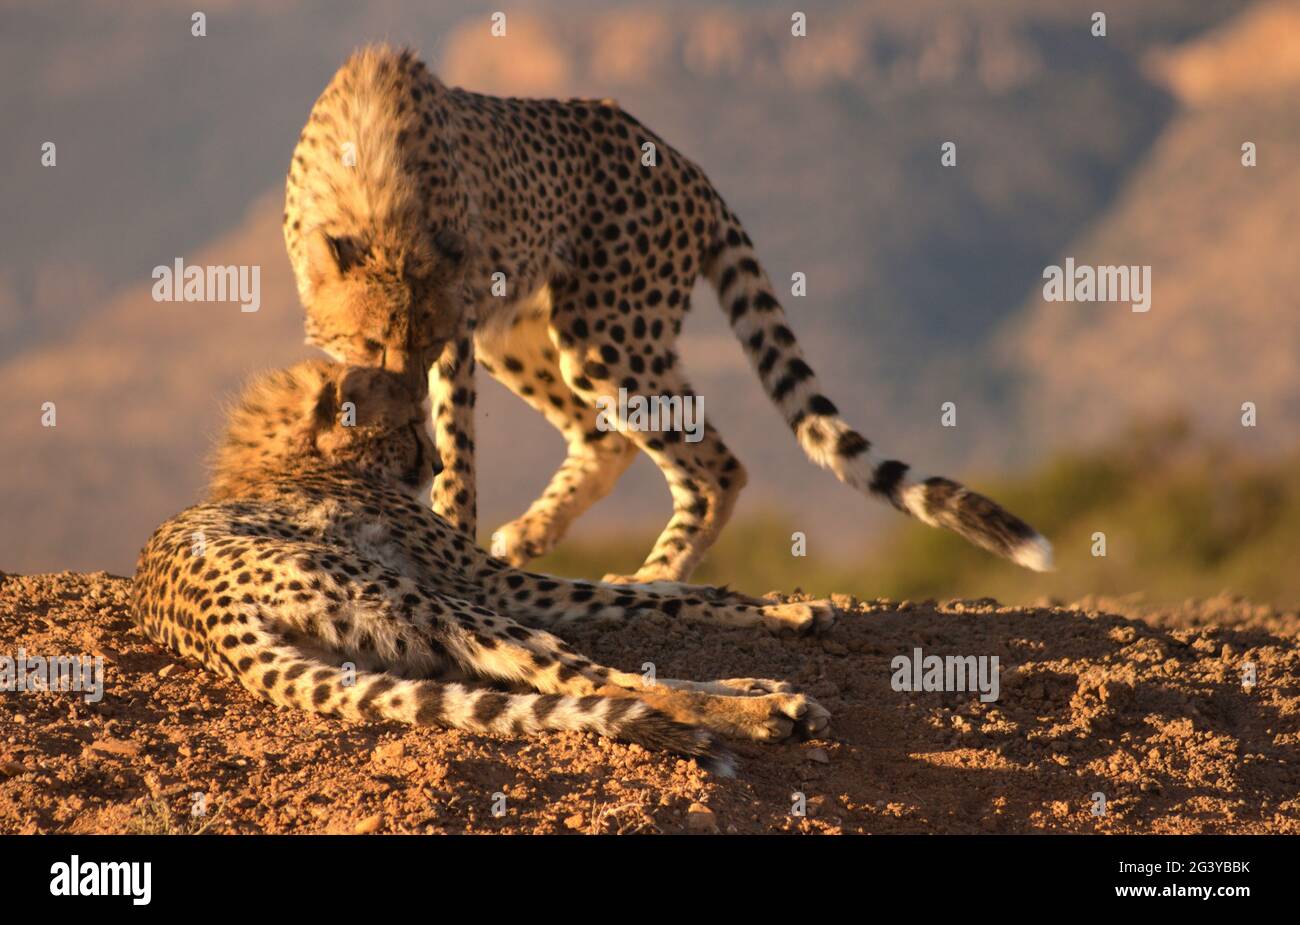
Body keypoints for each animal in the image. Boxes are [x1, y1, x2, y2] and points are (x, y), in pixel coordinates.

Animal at [129, 358, 832, 769]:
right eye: (409, 427)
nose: (438, 464)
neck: (299, 457)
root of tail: (211, 627)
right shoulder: (491, 579)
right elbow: (643, 595)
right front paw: (790, 610)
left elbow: (646, 589)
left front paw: (785, 607)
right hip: (434, 603)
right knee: (594, 681)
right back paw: (768, 708)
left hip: (400, 643)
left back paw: (759, 687)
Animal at [279, 47, 1050, 582]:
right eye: (371, 342)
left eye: (427, 344)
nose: (404, 392)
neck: (376, 198)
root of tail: (685, 162)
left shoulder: (460, 337)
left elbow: (457, 454)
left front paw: (449, 531)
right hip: (530, 333)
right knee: (608, 436)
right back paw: (534, 533)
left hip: (608, 335)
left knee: (717, 464)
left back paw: (658, 575)